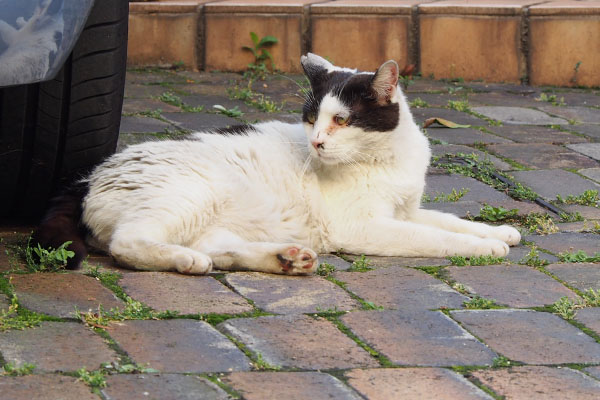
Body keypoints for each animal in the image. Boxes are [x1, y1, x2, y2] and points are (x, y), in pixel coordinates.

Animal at [35, 53, 520, 276]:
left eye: (341, 120)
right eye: (311, 119)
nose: (317, 142)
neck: (384, 159)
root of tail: (85, 178)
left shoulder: (406, 209)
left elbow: (449, 220)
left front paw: (499, 232)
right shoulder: (366, 227)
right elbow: (435, 237)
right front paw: (485, 248)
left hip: (214, 219)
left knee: (223, 250)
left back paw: (287, 258)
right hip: (188, 196)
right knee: (130, 244)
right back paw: (187, 261)